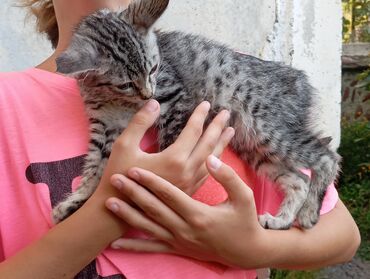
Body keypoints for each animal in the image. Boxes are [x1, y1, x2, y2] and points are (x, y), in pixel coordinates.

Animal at [52, 0, 342, 231]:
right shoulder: (104, 127)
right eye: (125, 84)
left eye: (153, 69)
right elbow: (95, 168)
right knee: (299, 179)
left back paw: (308, 213)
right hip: (253, 144)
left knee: (327, 157)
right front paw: (75, 201)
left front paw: (167, 180)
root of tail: (300, 79)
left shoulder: (173, 96)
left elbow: (170, 142)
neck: (111, 98)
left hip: (267, 128)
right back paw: (281, 220)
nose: (148, 95)